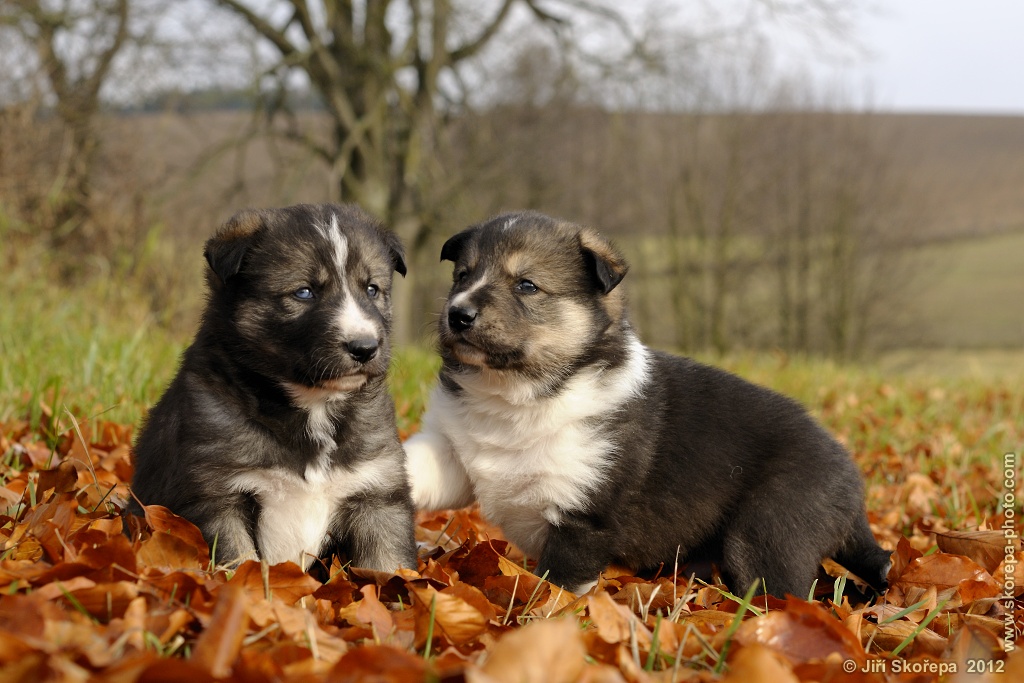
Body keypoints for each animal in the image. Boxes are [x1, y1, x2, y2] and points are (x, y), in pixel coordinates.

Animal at [131, 202, 415, 573]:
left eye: (371, 289)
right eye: (304, 292)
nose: (364, 347)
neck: (315, 405)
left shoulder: (377, 494)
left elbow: (390, 566)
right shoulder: (216, 495)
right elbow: (238, 563)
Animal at [403, 209, 892, 598]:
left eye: (527, 285)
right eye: (462, 275)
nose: (458, 314)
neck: (515, 394)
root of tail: (853, 481)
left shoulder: (583, 518)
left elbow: (556, 591)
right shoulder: (454, 454)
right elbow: (417, 466)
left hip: (768, 534)